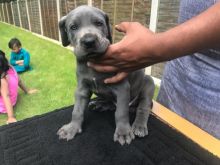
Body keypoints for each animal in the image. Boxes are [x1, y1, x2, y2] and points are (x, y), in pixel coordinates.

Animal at [57, 5, 156, 145]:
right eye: (73, 27)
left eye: (99, 23)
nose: (89, 41)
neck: (94, 60)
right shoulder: (82, 89)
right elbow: (77, 110)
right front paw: (72, 128)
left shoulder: (122, 88)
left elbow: (121, 112)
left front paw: (123, 132)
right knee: (112, 104)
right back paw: (101, 104)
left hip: (148, 83)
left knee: (143, 107)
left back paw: (139, 126)